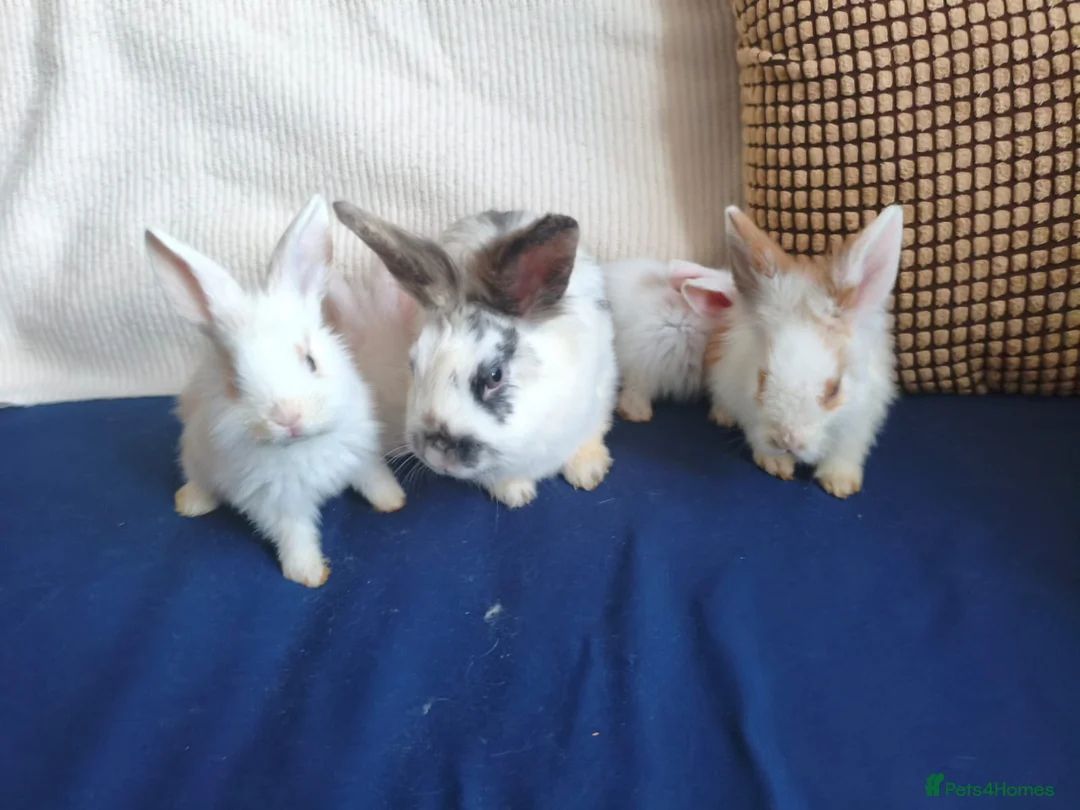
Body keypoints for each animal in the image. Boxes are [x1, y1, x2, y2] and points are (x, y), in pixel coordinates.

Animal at [144, 195, 406, 587]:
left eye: (311, 361)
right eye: (236, 383)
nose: (288, 417)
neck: (303, 446)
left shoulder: (363, 456)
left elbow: (375, 480)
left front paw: (393, 501)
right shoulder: (277, 502)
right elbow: (295, 535)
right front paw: (309, 573)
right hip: (195, 456)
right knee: (198, 480)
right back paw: (190, 504)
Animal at [331, 204, 618, 509]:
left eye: (495, 375)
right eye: (413, 365)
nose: (437, 454)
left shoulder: (602, 388)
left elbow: (591, 434)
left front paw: (589, 472)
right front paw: (515, 494)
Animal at [705, 204, 904, 499]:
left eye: (834, 390)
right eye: (763, 379)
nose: (787, 440)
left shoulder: (860, 419)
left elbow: (845, 450)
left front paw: (840, 483)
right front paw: (776, 463)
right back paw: (722, 416)